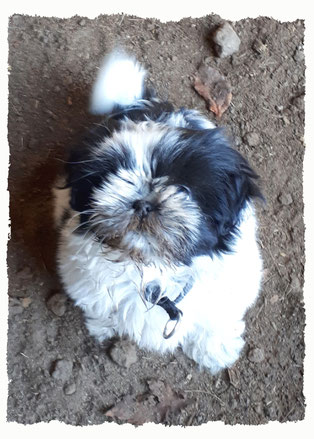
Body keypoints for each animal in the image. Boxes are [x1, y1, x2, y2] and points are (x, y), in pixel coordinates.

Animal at [53, 51, 262, 374]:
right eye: (112, 176)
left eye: (184, 189)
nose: (143, 202)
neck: (153, 272)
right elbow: (98, 304)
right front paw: (104, 324)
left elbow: (216, 317)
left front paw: (214, 348)